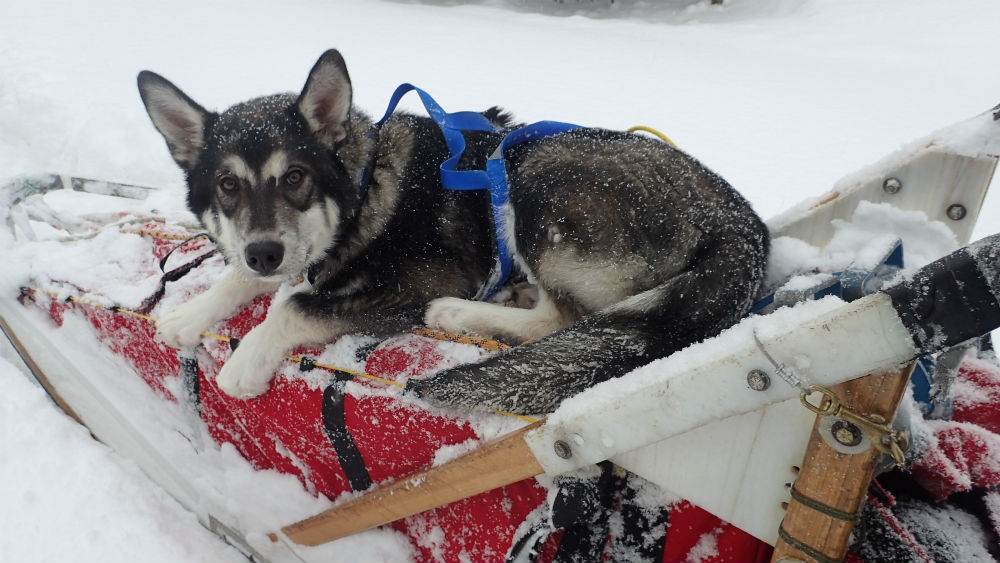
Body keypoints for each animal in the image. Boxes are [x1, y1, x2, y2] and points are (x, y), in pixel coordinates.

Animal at [137, 49, 768, 414]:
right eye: (227, 185)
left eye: (294, 177)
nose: (263, 253)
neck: (366, 184)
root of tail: (744, 224)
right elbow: (248, 279)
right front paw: (193, 312)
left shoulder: (415, 281)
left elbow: (293, 306)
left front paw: (248, 357)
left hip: (536, 177)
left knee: (561, 317)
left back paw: (461, 313)